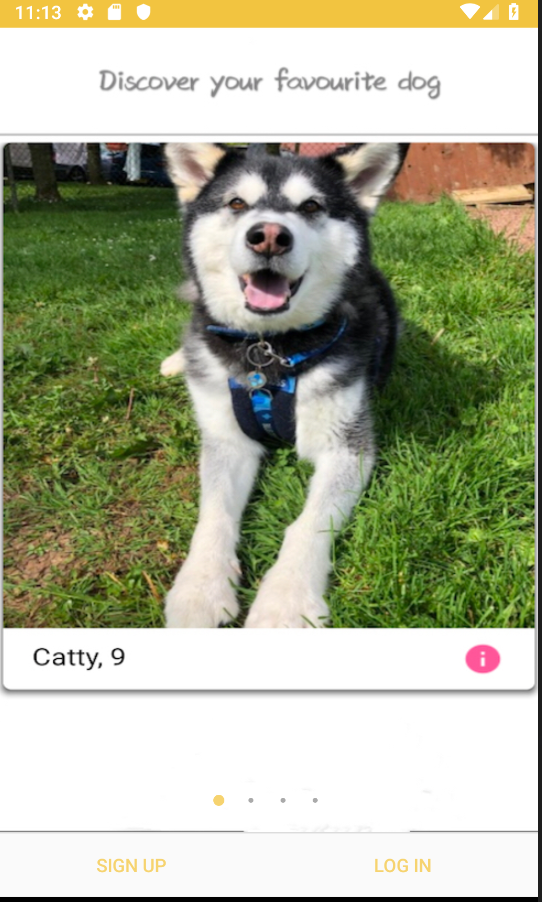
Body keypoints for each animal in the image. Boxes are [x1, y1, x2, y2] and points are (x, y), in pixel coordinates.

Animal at [162, 142, 406, 628]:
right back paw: (179, 359)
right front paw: (199, 587)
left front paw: (286, 599)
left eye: (310, 206)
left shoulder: (346, 444)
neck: (268, 349)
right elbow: (214, 514)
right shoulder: (225, 438)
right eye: (237, 203)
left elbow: (308, 524)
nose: (270, 235)